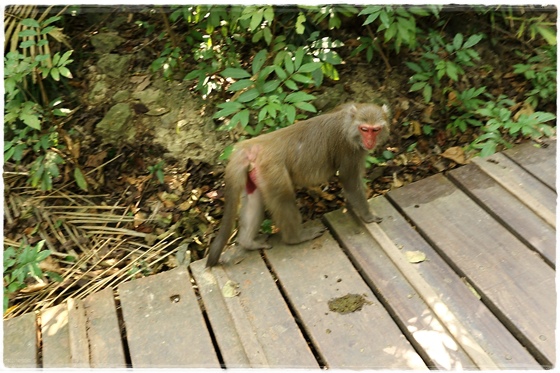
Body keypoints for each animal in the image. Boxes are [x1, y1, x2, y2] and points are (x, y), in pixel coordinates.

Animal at [206, 101, 390, 266]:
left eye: (375, 130)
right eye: (364, 129)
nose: (370, 142)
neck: (349, 123)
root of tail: (252, 145)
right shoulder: (350, 149)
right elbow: (350, 181)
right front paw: (368, 216)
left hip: (256, 174)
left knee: (254, 199)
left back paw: (247, 242)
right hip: (272, 170)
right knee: (284, 198)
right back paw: (295, 238)